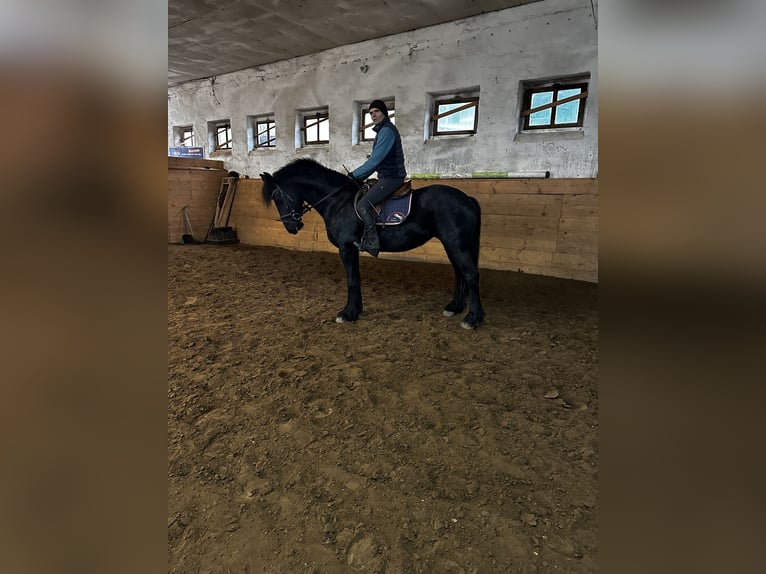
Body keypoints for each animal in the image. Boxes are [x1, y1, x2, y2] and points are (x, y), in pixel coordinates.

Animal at [260, 159, 484, 329]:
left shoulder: (346, 248)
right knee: (460, 273)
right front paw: (355, 310)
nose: (291, 226)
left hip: (457, 246)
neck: (338, 201)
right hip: (453, 246)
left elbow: (351, 280)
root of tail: (467, 199)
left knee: (471, 275)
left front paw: (347, 313)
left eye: (277, 197)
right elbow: (356, 279)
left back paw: (472, 318)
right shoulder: (352, 249)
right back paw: (454, 307)